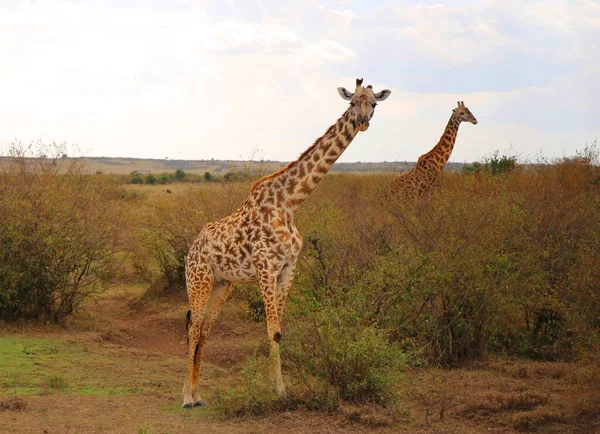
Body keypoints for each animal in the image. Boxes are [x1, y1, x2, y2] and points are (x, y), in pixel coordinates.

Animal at [180, 77, 392, 406]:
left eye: (374, 103)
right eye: (351, 102)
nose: (362, 121)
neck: (290, 203)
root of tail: (191, 249)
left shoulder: (288, 268)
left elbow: (279, 329)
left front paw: (277, 388)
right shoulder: (265, 266)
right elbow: (272, 330)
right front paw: (279, 391)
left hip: (222, 285)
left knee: (203, 329)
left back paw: (197, 393)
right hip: (198, 280)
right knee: (192, 327)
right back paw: (187, 397)